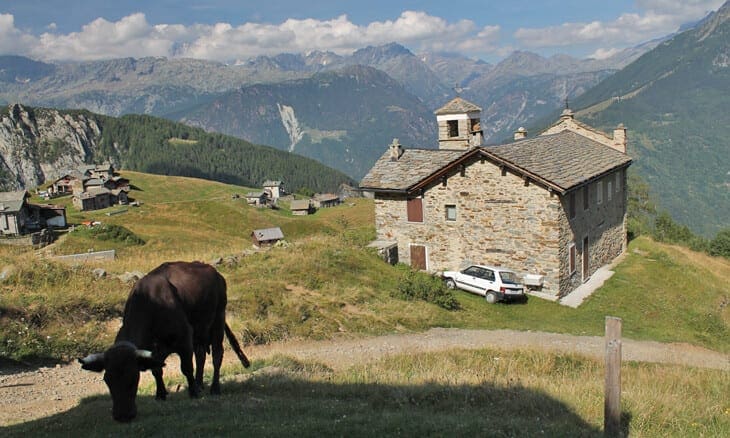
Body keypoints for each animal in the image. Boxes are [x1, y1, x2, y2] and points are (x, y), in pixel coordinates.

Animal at [79, 262, 249, 422]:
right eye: (107, 380)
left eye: (133, 378)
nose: (122, 416)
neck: (151, 307)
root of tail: (215, 273)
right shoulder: (154, 351)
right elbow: (156, 370)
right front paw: (161, 394)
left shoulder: (184, 338)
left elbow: (186, 368)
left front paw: (193, 392)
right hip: (200, 331)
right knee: (200, 355)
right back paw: (200, 384)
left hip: (218, 320)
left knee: (217, 355)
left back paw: (214, 388)